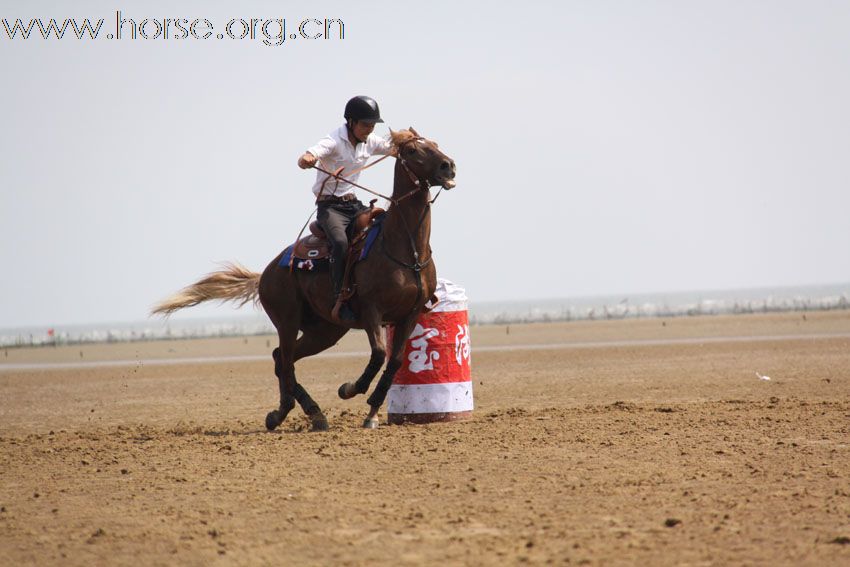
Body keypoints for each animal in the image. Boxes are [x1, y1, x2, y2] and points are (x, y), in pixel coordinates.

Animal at [152, 129, 458, 430]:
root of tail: (267, 272)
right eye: (412, 151)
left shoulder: (410, 314)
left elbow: (394, 361)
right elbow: (379, 354)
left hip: (325, 331)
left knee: (282, 358)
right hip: (287, 320)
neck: (404, 248)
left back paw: (302, 413)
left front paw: (372, 412)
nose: (448, 166)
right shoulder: (373, 310)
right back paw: (294, 412)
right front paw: (349, 389)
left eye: (434, 143)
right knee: (285, 360)